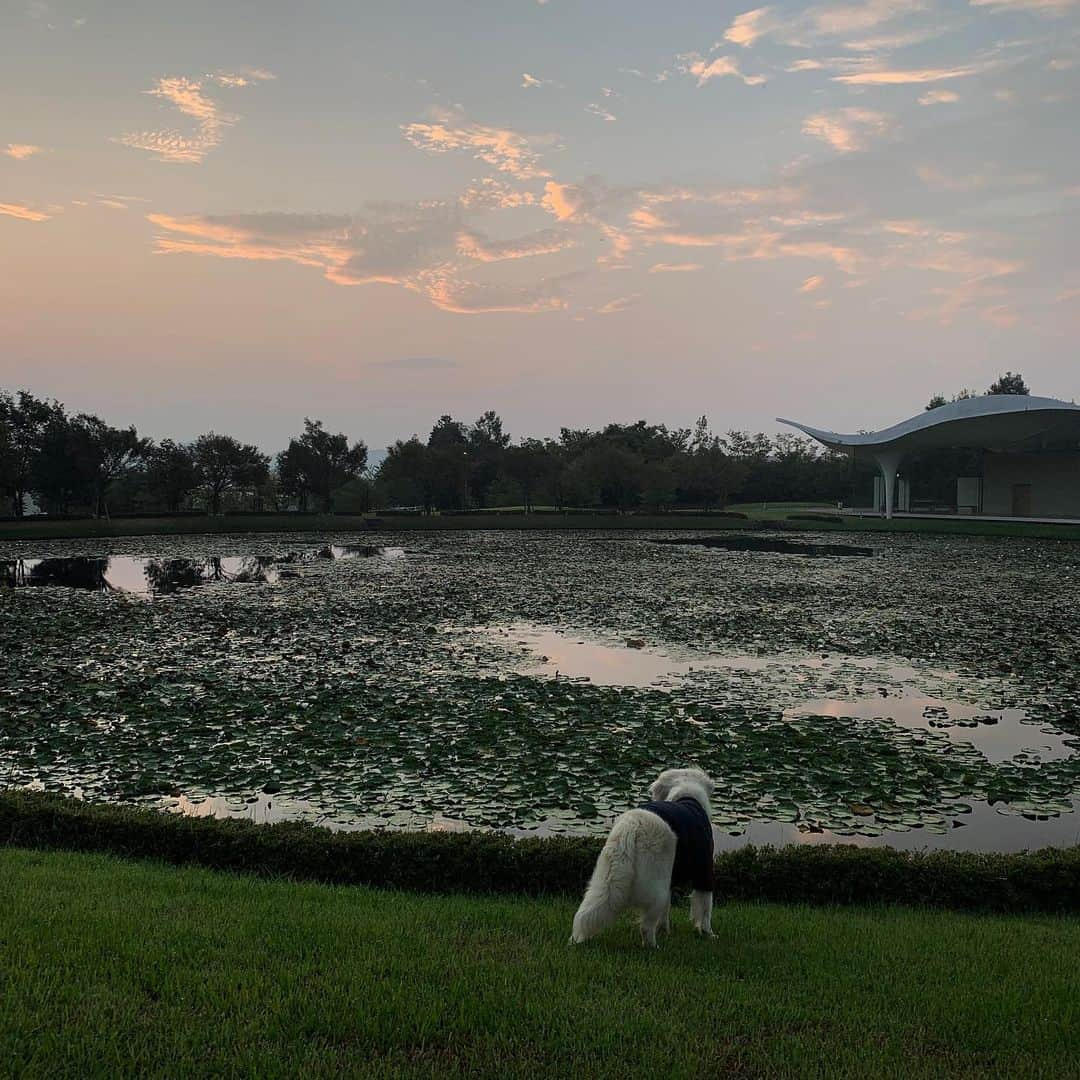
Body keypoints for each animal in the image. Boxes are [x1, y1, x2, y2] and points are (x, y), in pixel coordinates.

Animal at [570, 768, 712, 946]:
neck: (687, 795)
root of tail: (632, 825)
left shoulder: (672, 877)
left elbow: (667, 912)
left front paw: (665, 931)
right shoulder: (704, 873)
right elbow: (705, 909)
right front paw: (708, 934)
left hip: (604, 880)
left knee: (585, 913)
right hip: (656, 888)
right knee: (646, 926)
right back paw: (654, 947)